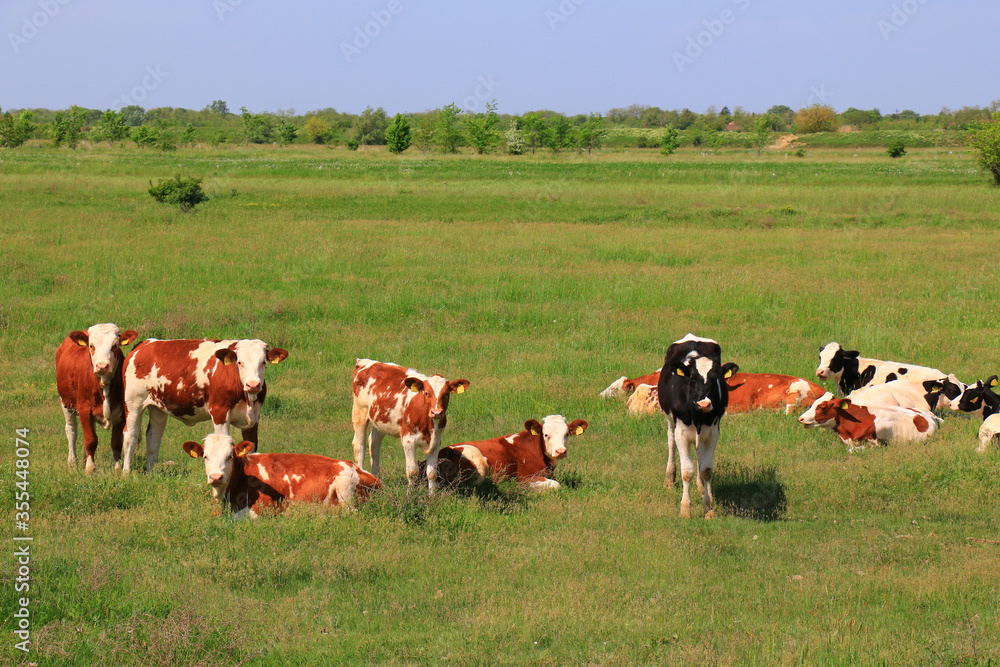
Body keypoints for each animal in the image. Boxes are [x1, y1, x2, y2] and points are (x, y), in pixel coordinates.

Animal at [55, 324, 138, 474]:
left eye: (115, 345)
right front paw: (90, 468)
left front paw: (117, 467)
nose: (102, 366)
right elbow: (90, 439)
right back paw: (73, 462)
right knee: (71, 431)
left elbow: (116, 441)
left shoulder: (121, 411)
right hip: (65, 402)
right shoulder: (84, 409)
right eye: (91, 346)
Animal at [121, 338, 288, 474]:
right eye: (240, 362)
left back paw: (151, 472)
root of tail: (144, 344)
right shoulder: (220, 412)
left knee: (153, 437)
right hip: (133, 403)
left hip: (158, 407)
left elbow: (251, 449)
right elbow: (223, 442)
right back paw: (126, 472)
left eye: (263, 362)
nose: (253, 385)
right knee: (130, 435)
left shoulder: (254, 417)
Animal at [350, 359, 470, 493]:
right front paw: (411, 494)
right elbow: (412, 471)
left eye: (446, 394)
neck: (430, 425)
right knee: (359, 446)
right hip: (360, 412)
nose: (437, 412)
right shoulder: (408, 439)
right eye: (426, 393)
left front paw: (432, 495)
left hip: (380, 419)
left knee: (374, 444)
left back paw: (377, 480)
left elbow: (432, 472)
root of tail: (364, 361)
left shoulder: (436, 441)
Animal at [657, 334, 737, 519]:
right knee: (671, 443)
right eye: (692, 378)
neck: (698, 415)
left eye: (715, 379)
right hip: (671, 423)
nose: (704, 403)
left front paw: (709, 507)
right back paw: (669, 479)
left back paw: (701, 486)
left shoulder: (713, 432)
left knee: (699, 455)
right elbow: (687, 471)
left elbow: (706, 469)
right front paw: (685, 509)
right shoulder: (681, 432)